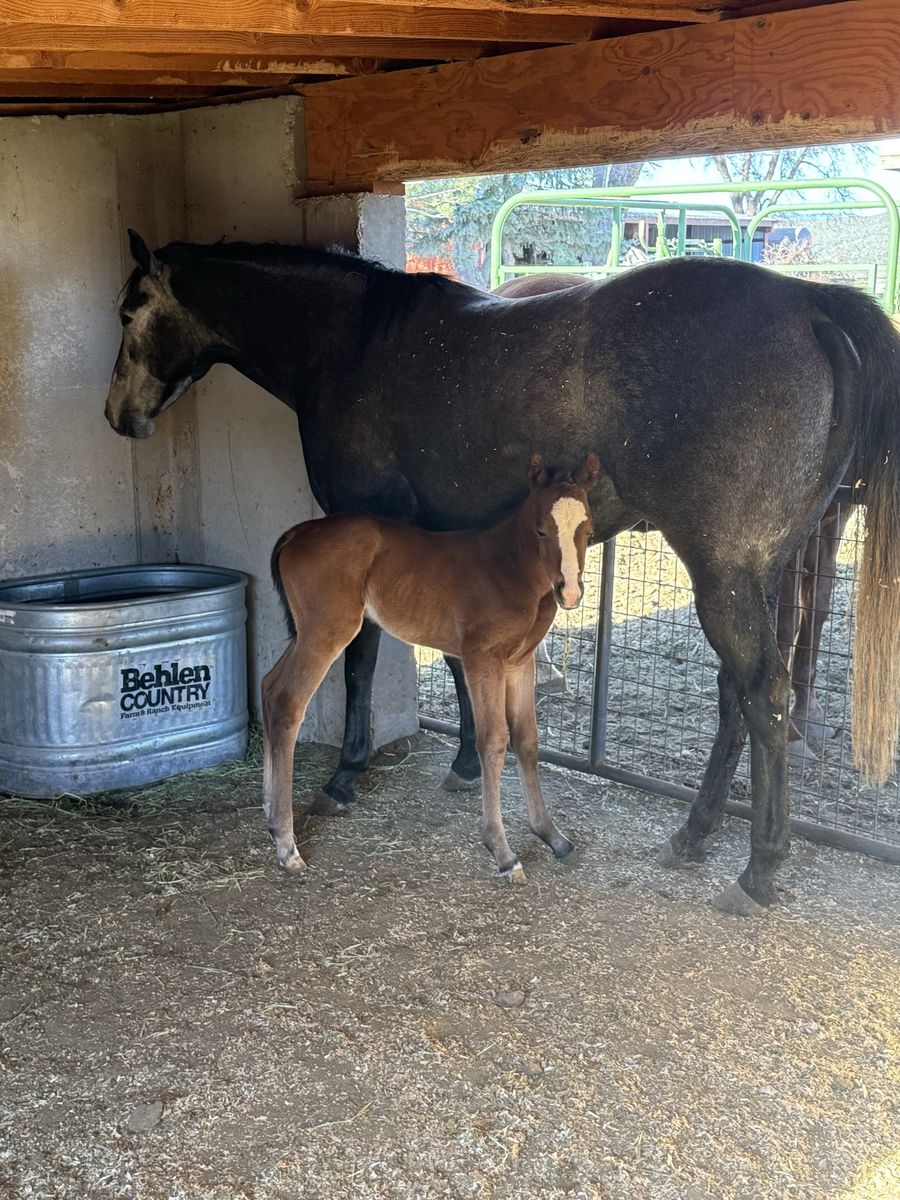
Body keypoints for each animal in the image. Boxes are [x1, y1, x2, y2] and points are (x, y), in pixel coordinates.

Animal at [263, 453, 599, 881]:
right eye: (541, 530)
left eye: (588, 531)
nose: (569, 593)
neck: (508, 566)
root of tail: (298, 532)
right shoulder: (482, 659)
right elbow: (493, 741)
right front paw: (503, 853)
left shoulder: (520, 663)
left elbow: (527, 740)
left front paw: (552, 836)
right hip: (326, 631)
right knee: (287, 701)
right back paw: (287, 846)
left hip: (307, 632)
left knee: (269, 686)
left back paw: (269, 815)